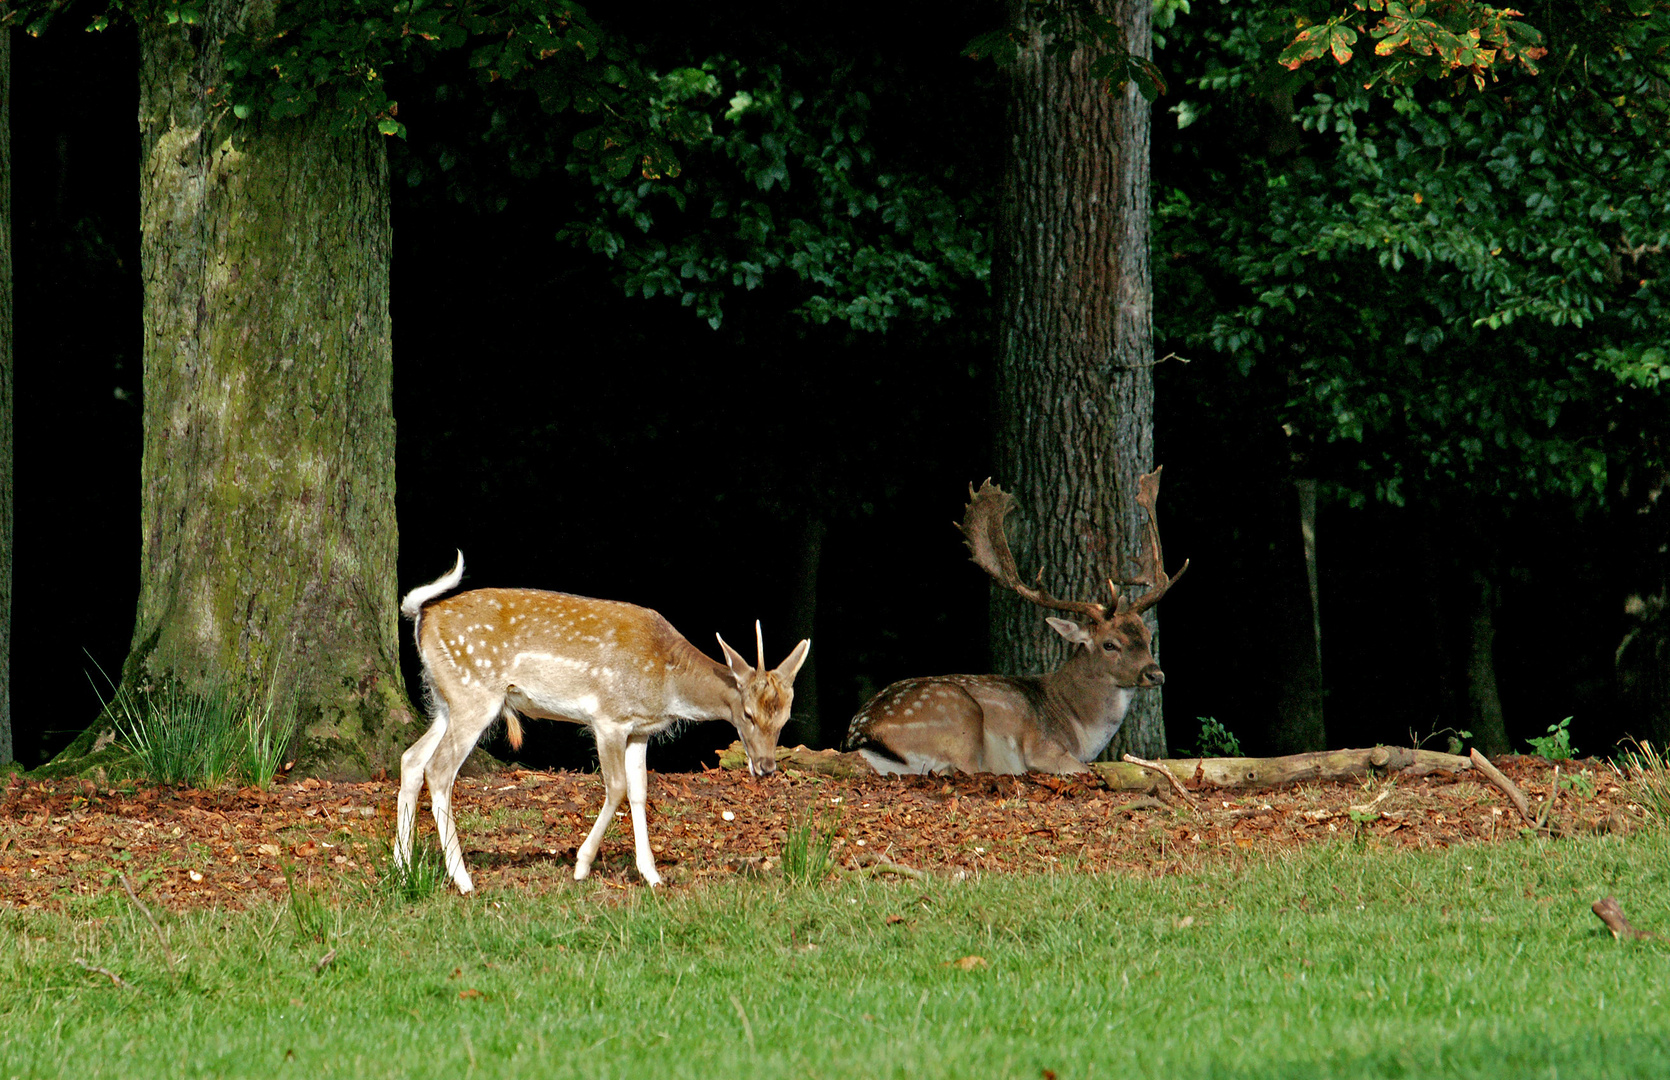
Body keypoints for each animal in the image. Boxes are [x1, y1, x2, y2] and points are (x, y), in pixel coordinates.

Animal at [392, 554, 808, 894]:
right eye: (748, 714)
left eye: (785, 717)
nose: (767, 766)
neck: (667, 681)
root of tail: (422, 616)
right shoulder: (609, 718)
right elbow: (617, 786)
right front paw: (581, 865)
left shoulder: (640, 731)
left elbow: (640, 790)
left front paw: (652, 874)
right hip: (473, 694)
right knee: (439, 770)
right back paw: (463, 880)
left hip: (446, 702)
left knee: (411, 759)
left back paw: (402, 866)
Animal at [848, 467, 1189, 774]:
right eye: (1109, 645)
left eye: (1147, 637)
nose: (1155, 674)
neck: (1078, 727)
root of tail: (862, 736)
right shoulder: (1043, 748)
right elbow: (1083, 769)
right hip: (961, 714)